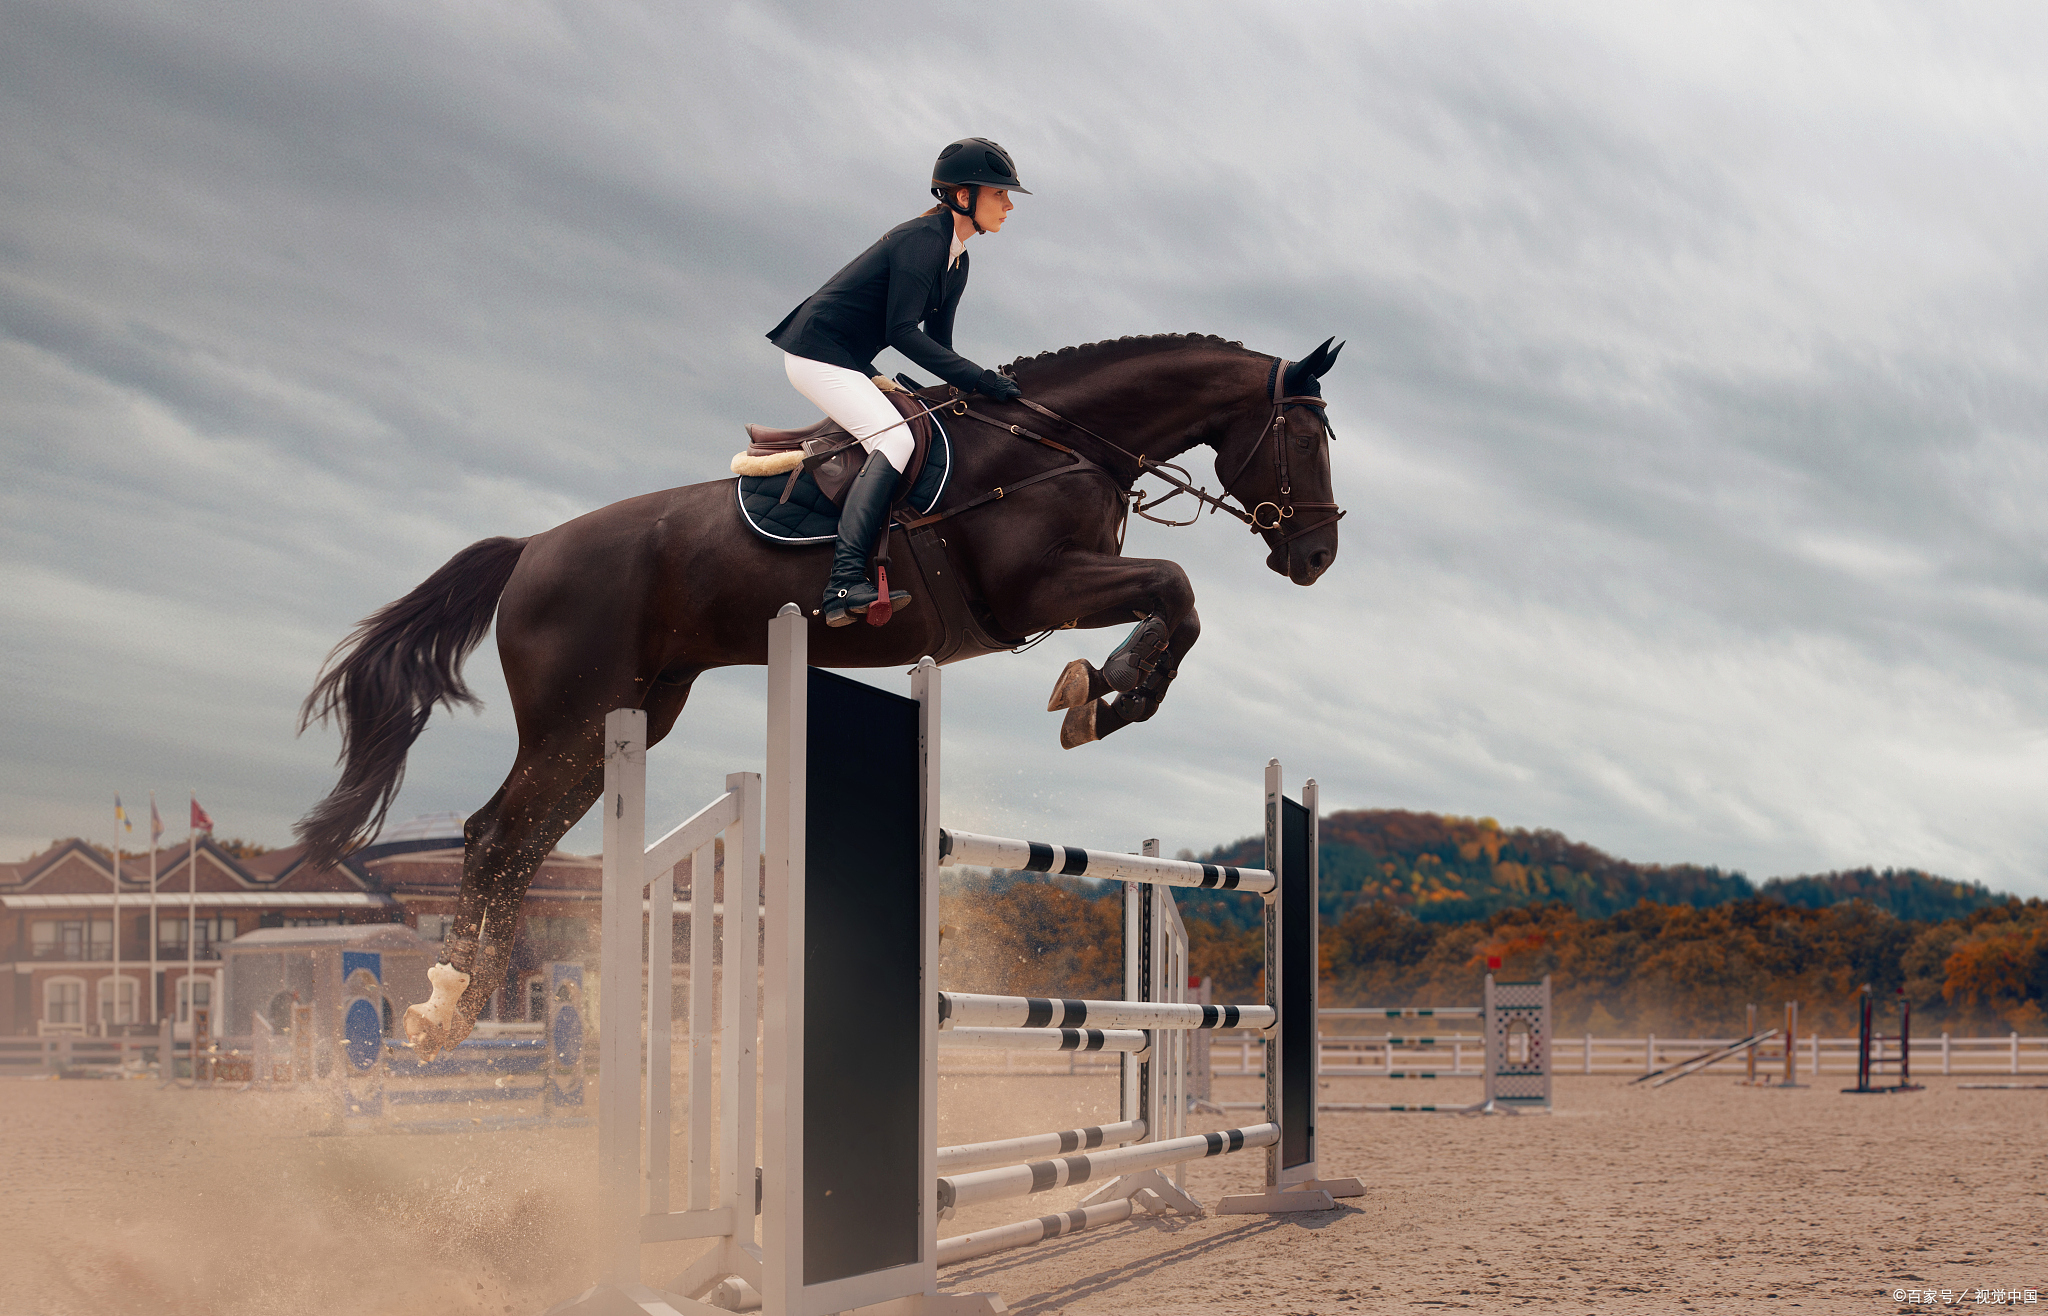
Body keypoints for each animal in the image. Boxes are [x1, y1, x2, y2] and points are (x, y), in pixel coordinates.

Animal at [292, 335, 1343, 1056]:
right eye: (1305, 439)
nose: (1318, 556)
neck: (1052, 444)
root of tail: (531, 547)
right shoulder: (1035, 588)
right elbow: (1177, 589)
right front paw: (1108, 689)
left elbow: (1177, 607)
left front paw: (1107, 693)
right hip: (575, 717)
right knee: (494, 836)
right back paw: (448, 1006)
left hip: (630, 718)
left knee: (518, 840)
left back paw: (452, 1004)